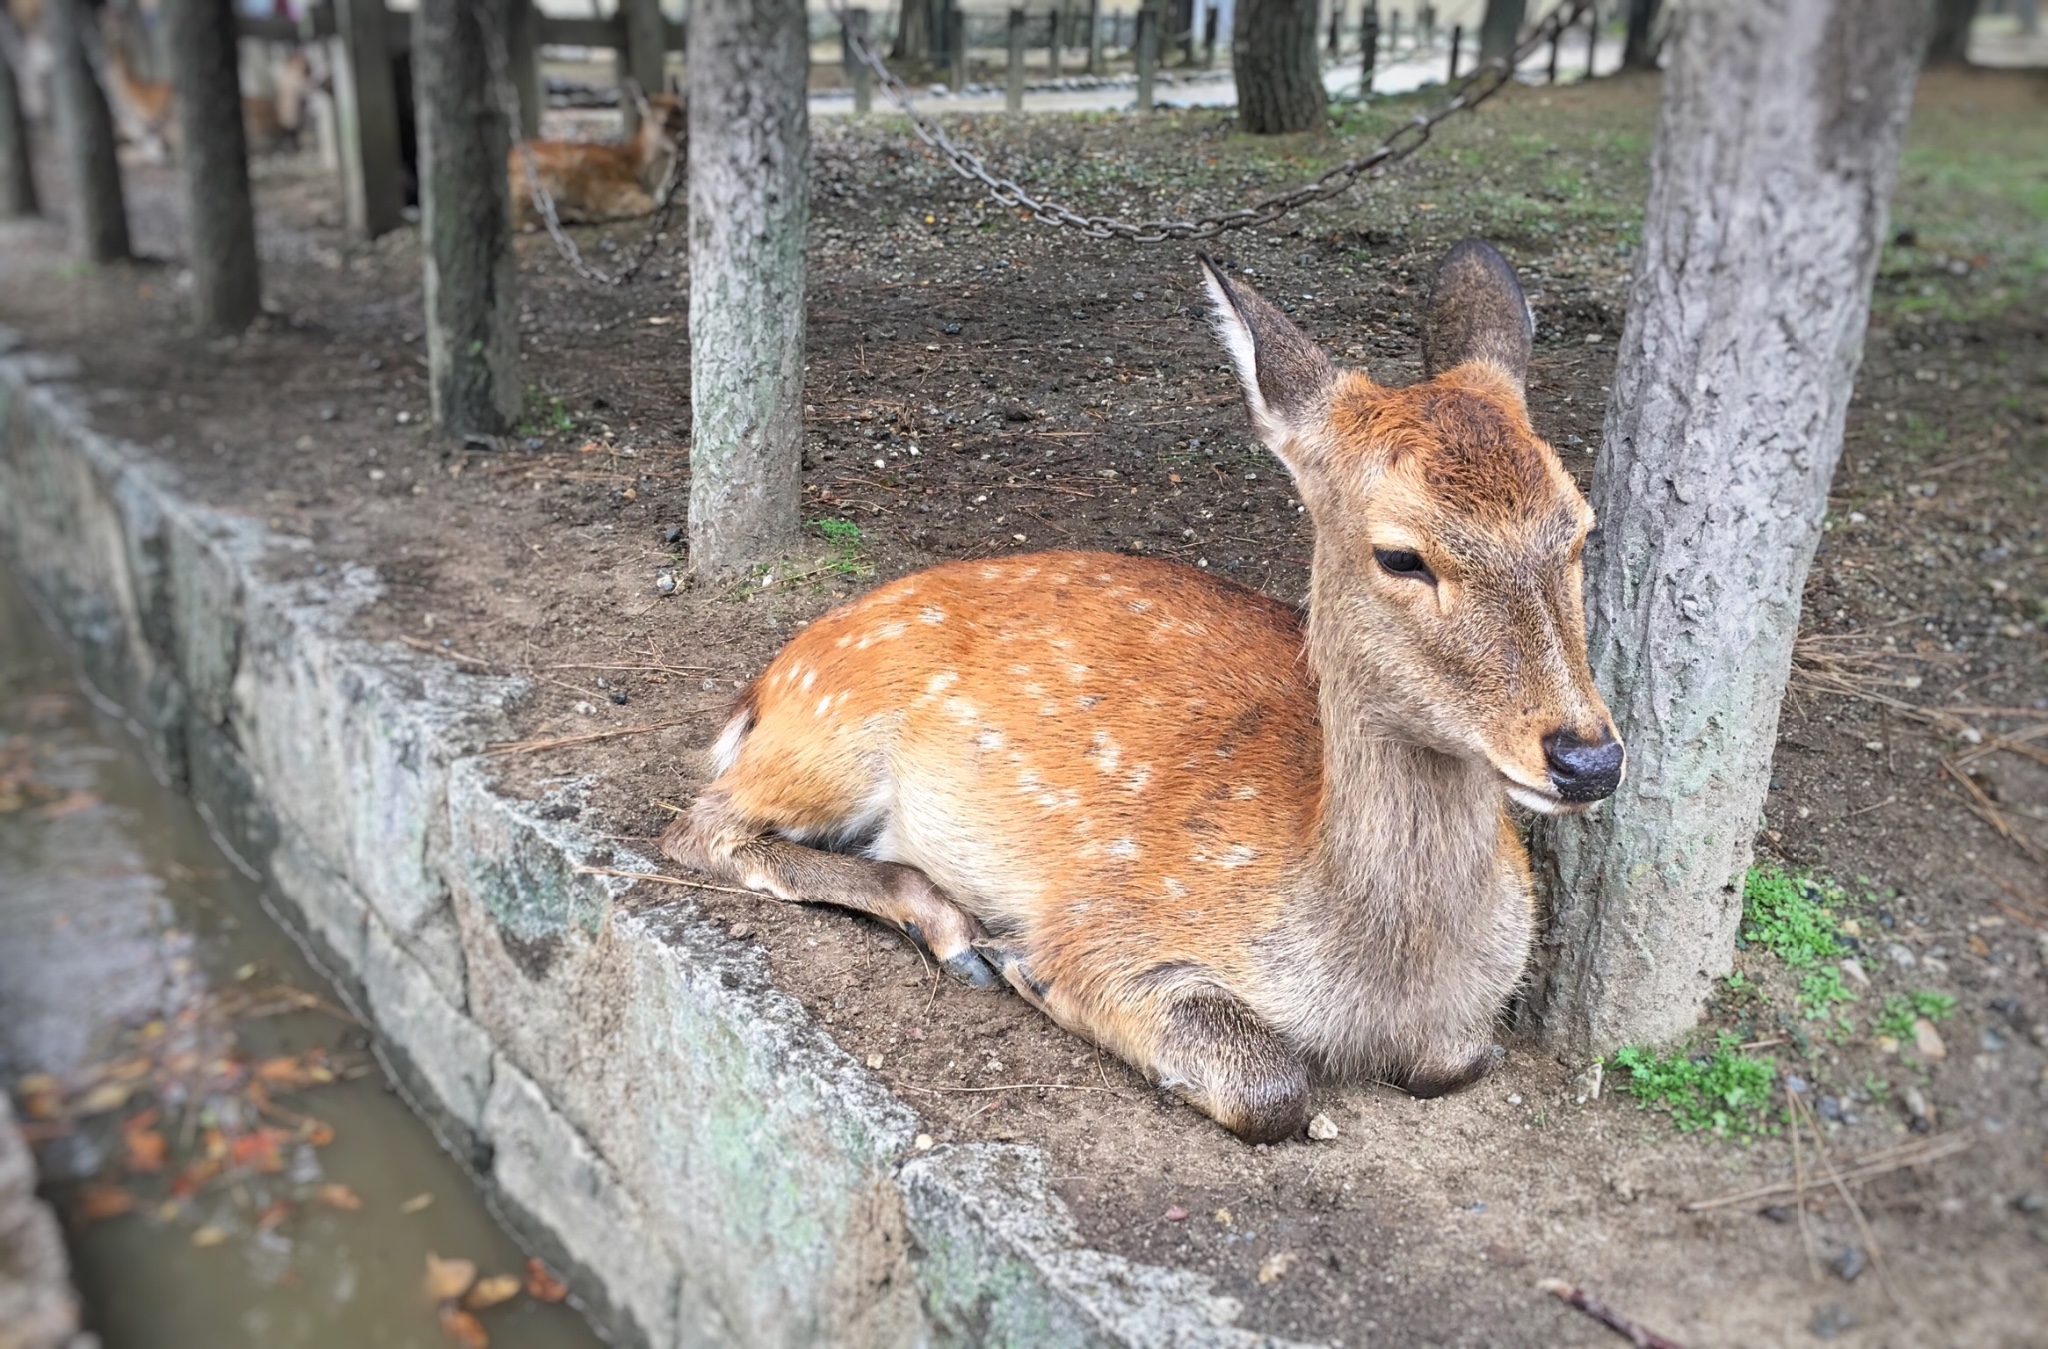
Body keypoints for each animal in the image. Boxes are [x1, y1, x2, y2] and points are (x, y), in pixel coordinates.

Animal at [507, 81, 684, 231]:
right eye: (664, 122)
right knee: (519, 221)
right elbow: (648, 204)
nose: (684, 143)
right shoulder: (605, 188)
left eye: (687, 112)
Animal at [663, 240, 1622, 1138]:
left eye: (1581, 526)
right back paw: (957, 933)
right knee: (700, 825)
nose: (1589, 757)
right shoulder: (1104, 916)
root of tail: (763, 687)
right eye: (1401, 553)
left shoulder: (1471, 1019)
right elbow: (1269, 1082)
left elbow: (1464, 1058)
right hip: (834, 731)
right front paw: (1030, 970)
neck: (1383, 996)